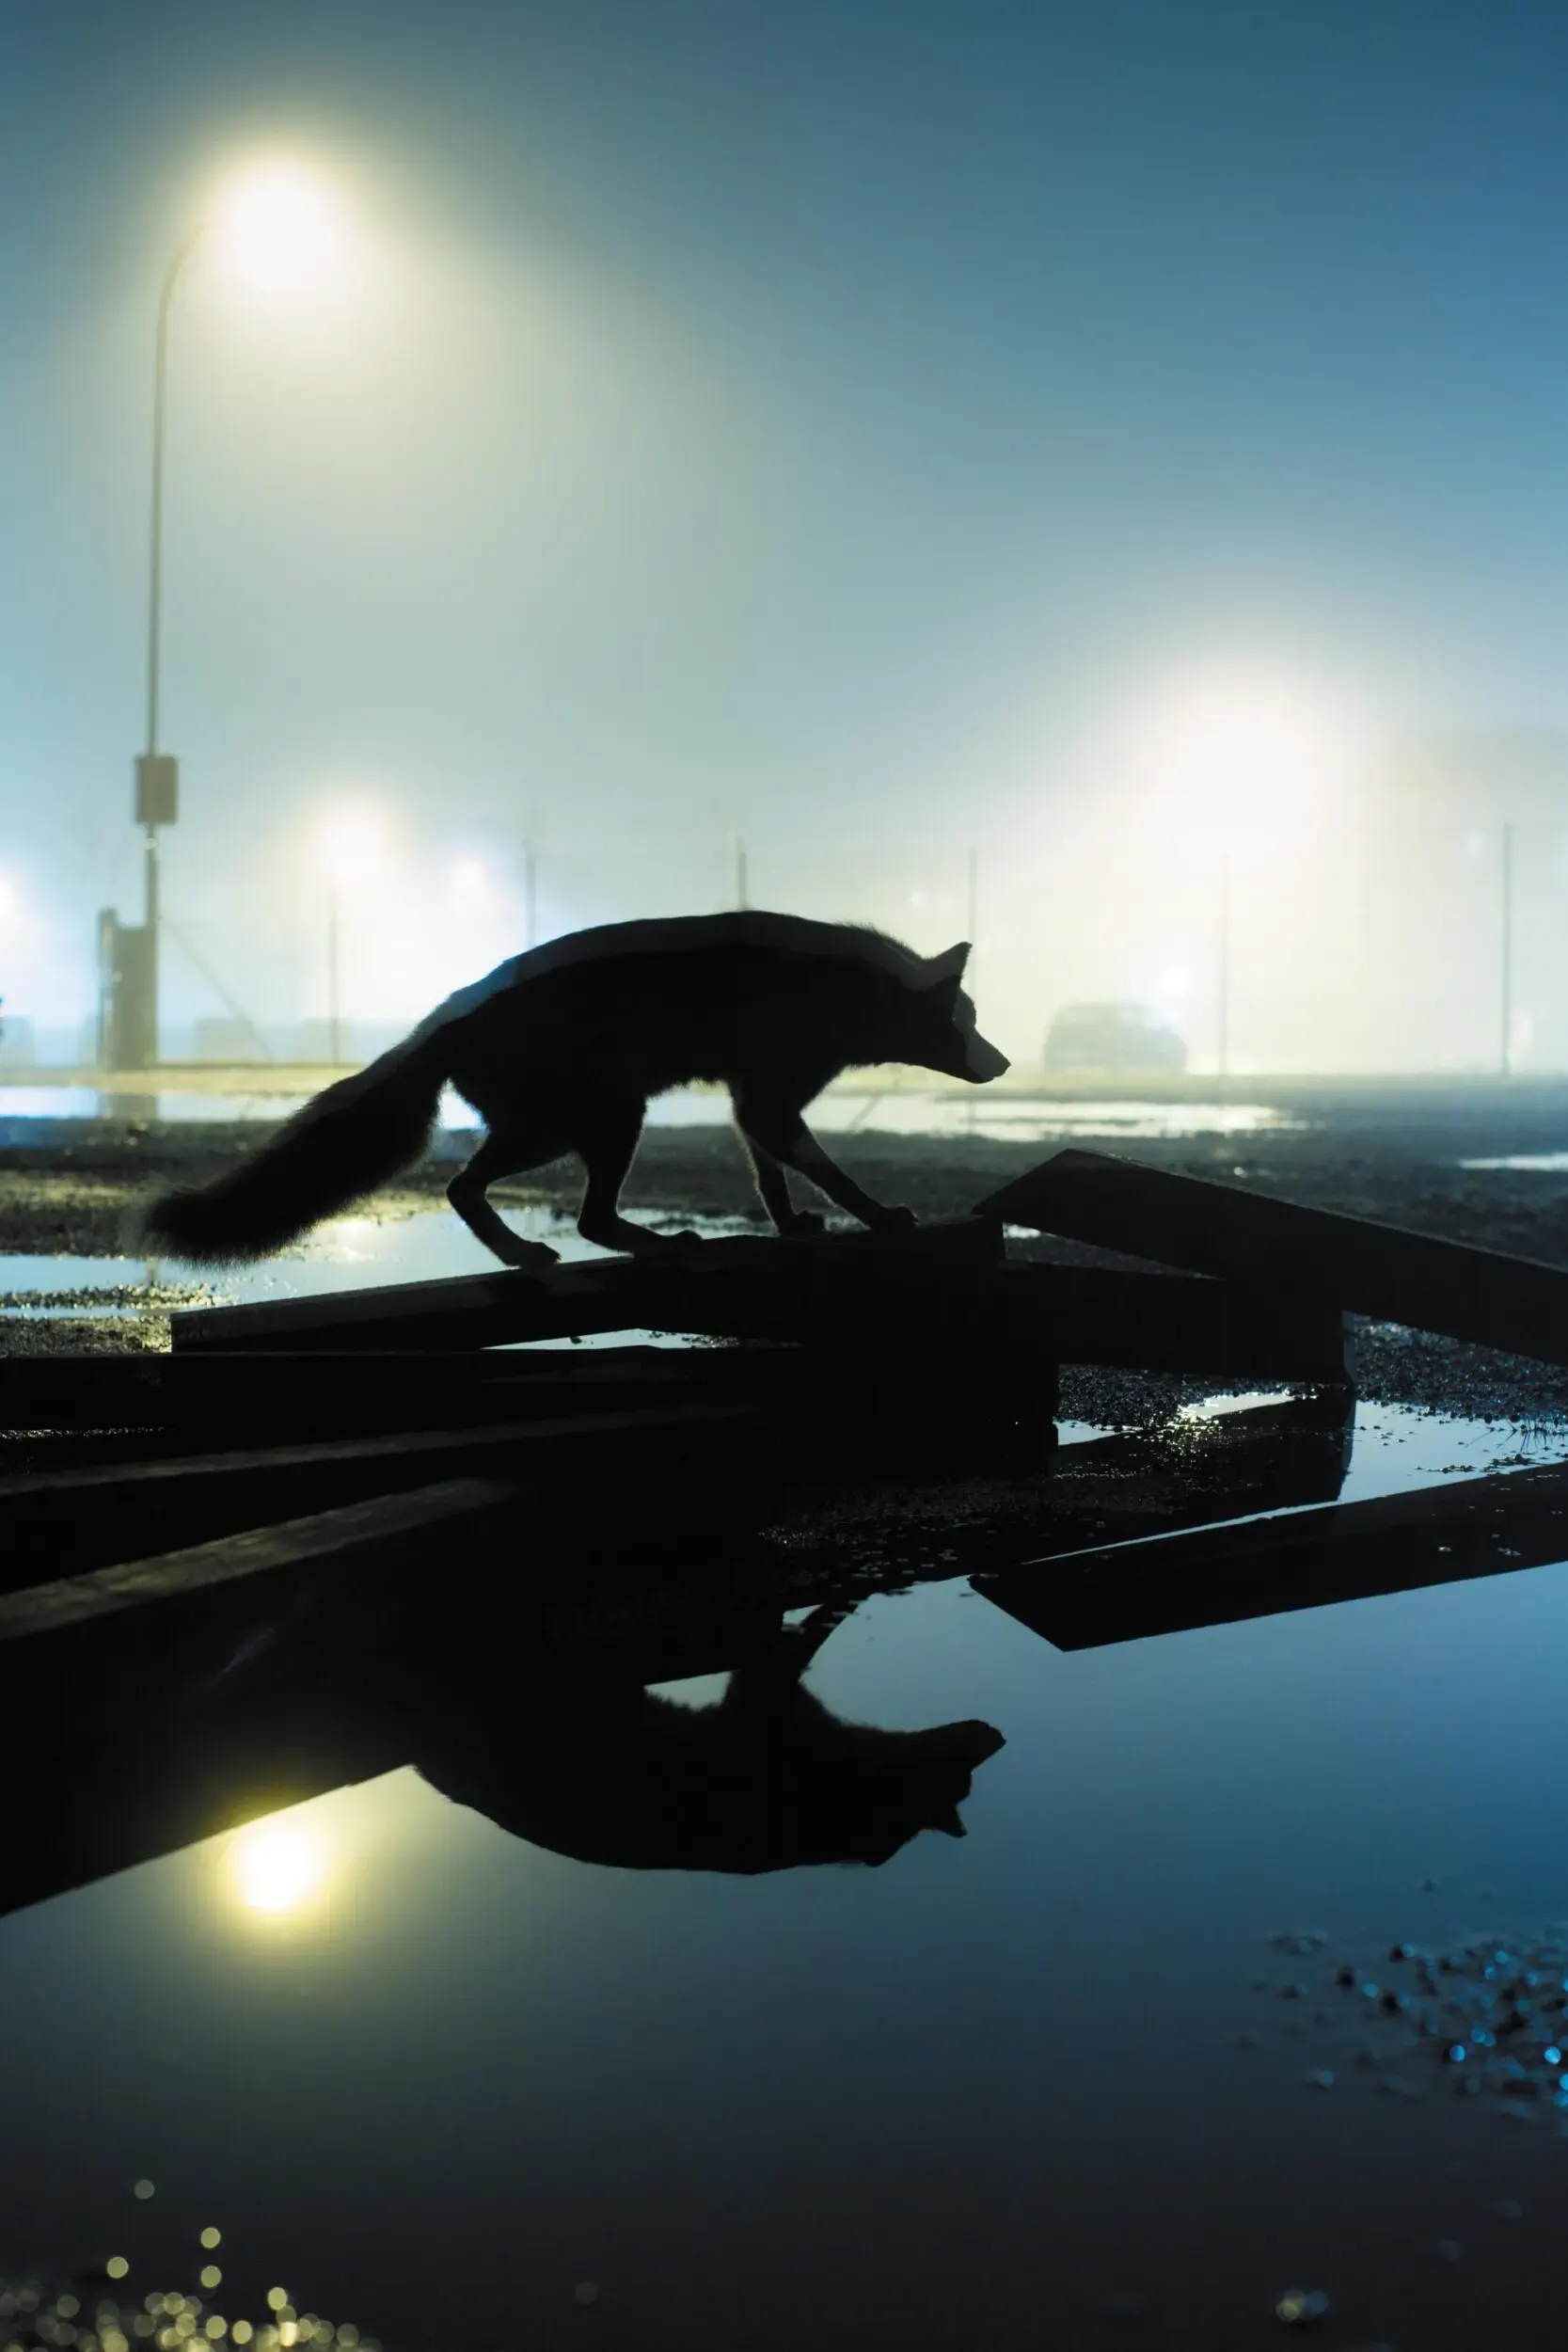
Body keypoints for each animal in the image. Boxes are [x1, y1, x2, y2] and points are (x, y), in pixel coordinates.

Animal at [142, 909, 1009, 1269]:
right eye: (963, 1020)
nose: (1000, 1064)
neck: (845, 988)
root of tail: (439, 1024)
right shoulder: (770, 1094)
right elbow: (821, 1166)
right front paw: (880, 1216)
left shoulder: (754, 1099)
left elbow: (770, 1172)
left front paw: (794, 1226)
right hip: (595, 1118)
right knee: (527, 1202)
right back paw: (612, 1244)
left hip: (565, 1123)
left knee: (491, 1192)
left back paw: (535, 1250)